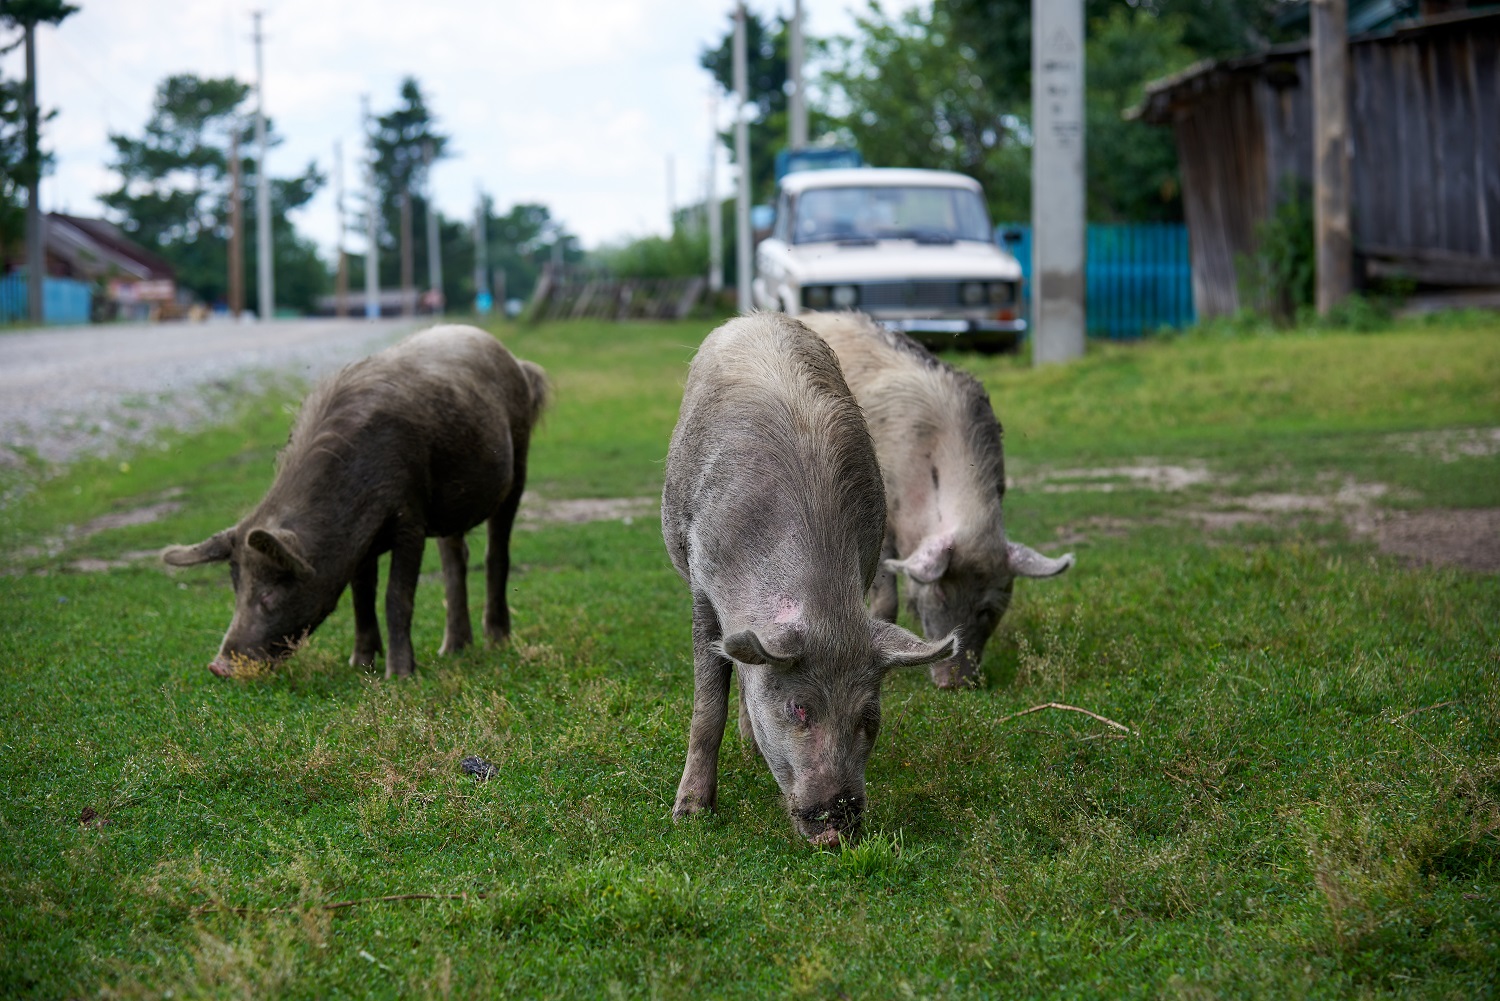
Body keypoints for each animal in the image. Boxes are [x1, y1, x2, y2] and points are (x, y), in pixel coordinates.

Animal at [161, 325, 549, 678]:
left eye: (270, 592)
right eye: (236, 588)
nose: (218, 667)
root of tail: (517, 362)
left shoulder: (411, 515)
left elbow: (397, 596)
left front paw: (400, 676)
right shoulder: (363, 542)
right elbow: (362, 596)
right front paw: (360, 665)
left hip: (519, 462)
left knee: (496, 552)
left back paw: (497, 642)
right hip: (452, 506)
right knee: (456, 560)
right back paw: (452, 650)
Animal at [663, 313, 954, 846]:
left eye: (869, 717)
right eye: (799, 709)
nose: (836, 828)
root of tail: (755, 317)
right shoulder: (702, 585)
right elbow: (707, 705)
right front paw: (689, 816)